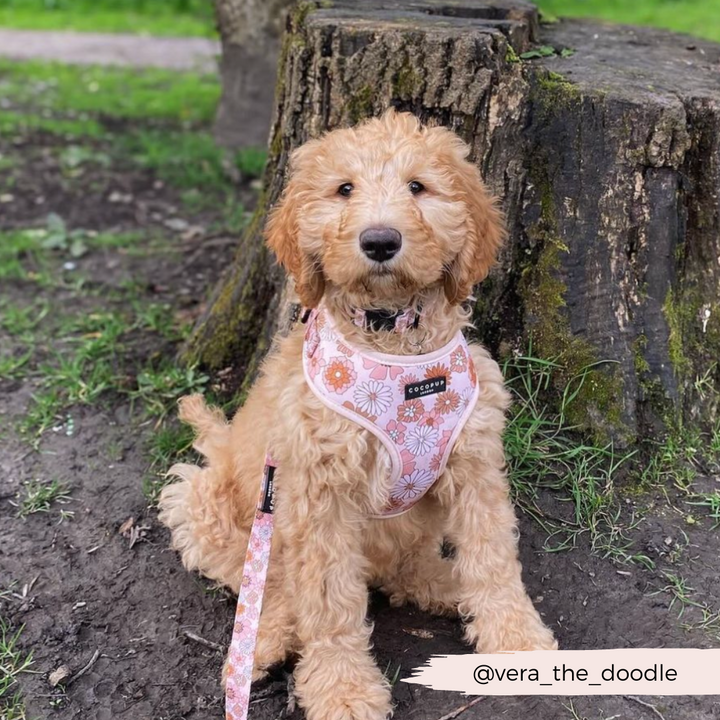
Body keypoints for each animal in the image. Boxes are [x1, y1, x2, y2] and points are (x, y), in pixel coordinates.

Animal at [159, 108, 556, 720]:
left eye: (418, 187)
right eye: (344, 189)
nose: (380, 240)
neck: (394, 336)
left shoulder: (473, 462)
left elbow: (492, 557)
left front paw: (517, 640)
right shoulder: (317, 492)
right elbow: (327, 603)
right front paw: (343, 689)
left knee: (405, 570)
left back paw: (446, 584)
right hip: (204, 500)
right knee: (270, 585)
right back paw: (265, 638)